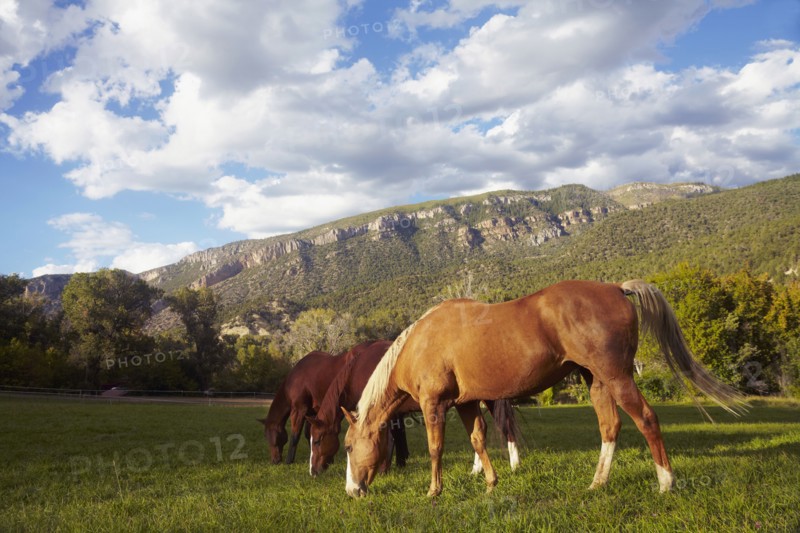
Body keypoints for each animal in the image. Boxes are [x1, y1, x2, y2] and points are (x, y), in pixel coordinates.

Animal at [307, 340, 522, 477]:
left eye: (317, 440)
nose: (313, 471)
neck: (358, 372)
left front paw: (384, 469)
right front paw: (399, 464)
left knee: (505, 425)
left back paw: (515, 465)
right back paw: (477, 469)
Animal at [342, 280, 746, 498]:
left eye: (347, 446)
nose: (352, 490)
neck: (420, 342)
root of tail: (616, 288)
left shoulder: (434, 405)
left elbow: (435, 448)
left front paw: (434, 491)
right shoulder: (465, 404)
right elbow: (477, 440)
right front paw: (491, 483)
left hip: (618, 377)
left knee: (646, 419)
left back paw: (666, 482)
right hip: (596, 381)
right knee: (610, 427)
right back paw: (597, 483)